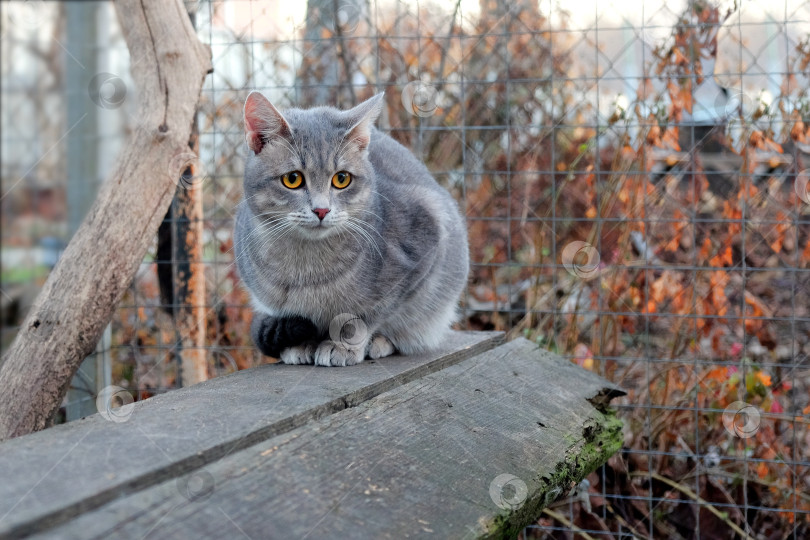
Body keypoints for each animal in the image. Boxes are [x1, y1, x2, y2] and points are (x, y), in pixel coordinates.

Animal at [234, 93, 468, 368]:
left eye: (341, 179)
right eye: (292, 179)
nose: (321, 210)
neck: (306, 270)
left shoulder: (425, 245)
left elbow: (364, 317)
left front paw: (343, 345)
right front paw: (300, 345)